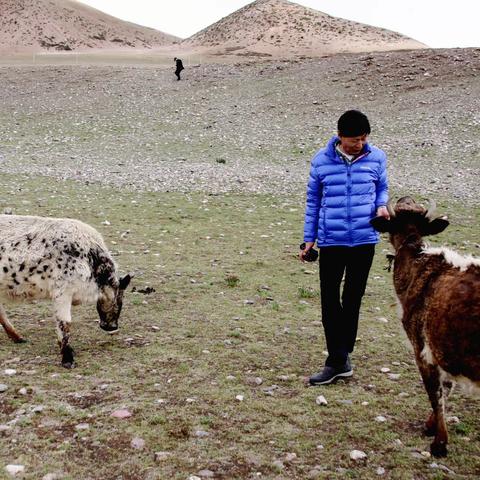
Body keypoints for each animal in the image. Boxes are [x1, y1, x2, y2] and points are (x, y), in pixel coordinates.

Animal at [0, 214, 131, 368]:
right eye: (120, 301)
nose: (112, 327)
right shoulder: (62, 292)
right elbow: (65, 323)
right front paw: (67, 358)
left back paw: (18, 337)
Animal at [372, 198, 480, 458]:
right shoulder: (444, 349)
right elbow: (447, 388)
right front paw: (431, 426)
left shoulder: (422, 348)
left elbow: (435, 394)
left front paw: (439, 444)